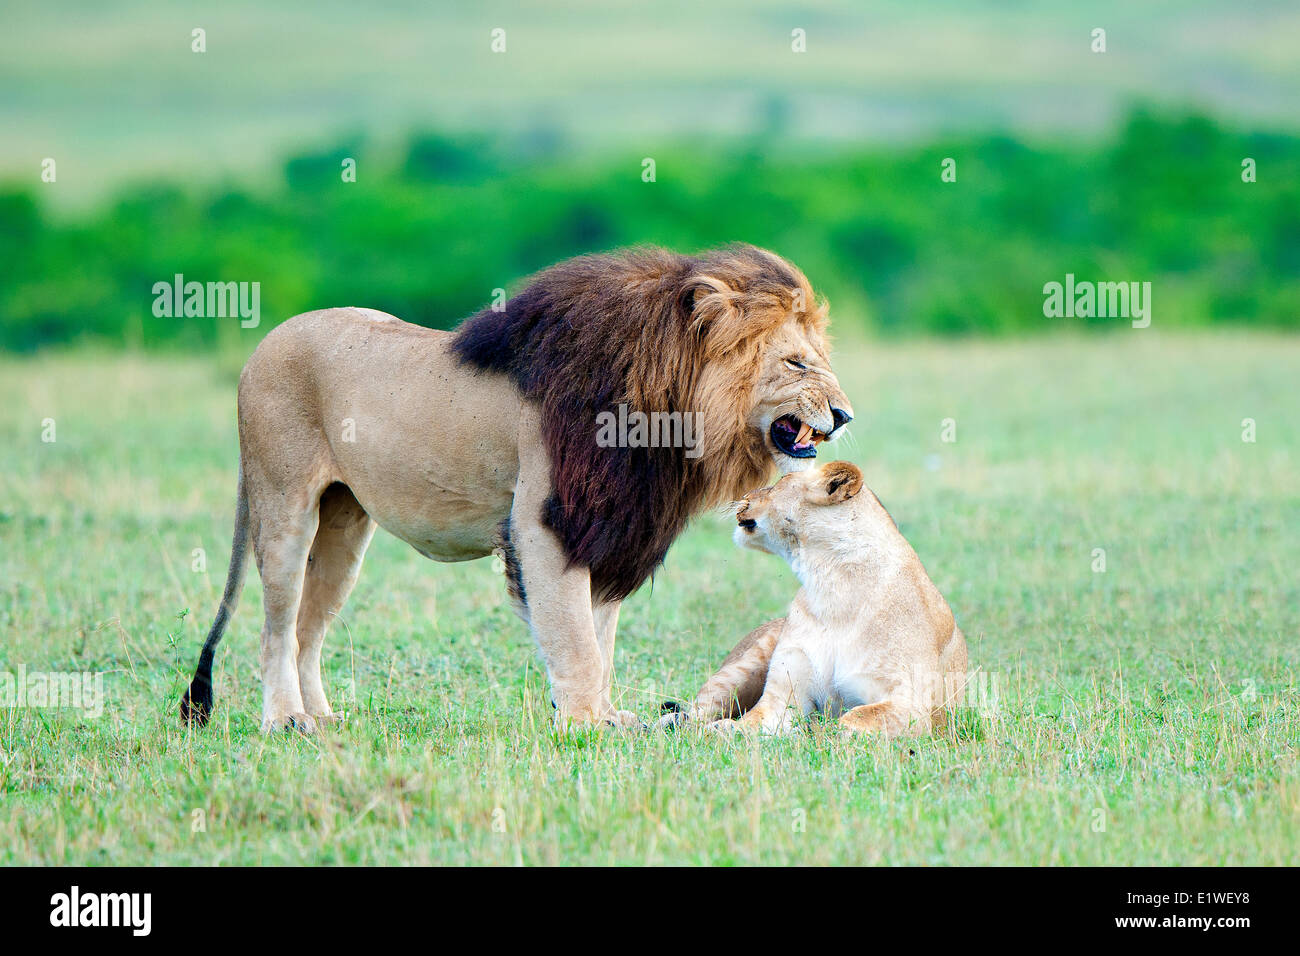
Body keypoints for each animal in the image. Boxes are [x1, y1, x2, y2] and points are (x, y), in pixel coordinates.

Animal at [180, 244, 852, 733]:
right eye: (797, 363)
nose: (845, 415)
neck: (668, 403)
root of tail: (263, 345)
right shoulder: (547, 520)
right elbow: (575, 638)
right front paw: (586, 725)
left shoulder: (603, 525)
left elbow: (598, 635)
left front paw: (606, 715)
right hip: (284, 503)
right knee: (275, 622)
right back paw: (284, 720)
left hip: (344, 527)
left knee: (307, 628)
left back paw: (323, 718)